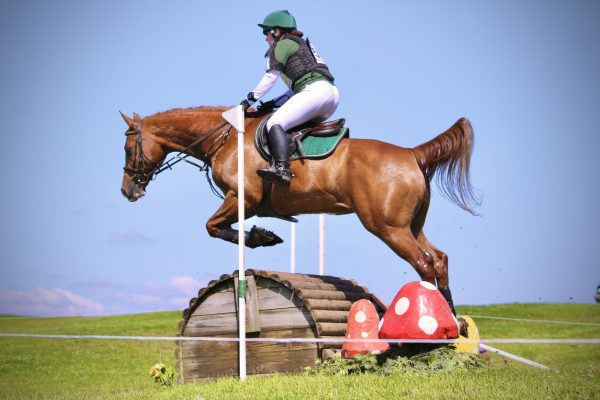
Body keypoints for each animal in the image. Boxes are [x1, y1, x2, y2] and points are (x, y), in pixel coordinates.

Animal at [119, 106, 480, 312]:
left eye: (126, 148)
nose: (127, 190)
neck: (224, 138)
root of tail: (412, 154)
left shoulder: (242, 198)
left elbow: (211, 226)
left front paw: (261, 237)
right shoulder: (244, 204)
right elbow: (219, 227)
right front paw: (262, 235)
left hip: (387, 228)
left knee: (424, 263)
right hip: (411, 225)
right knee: (439, 258)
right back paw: (452, 320)